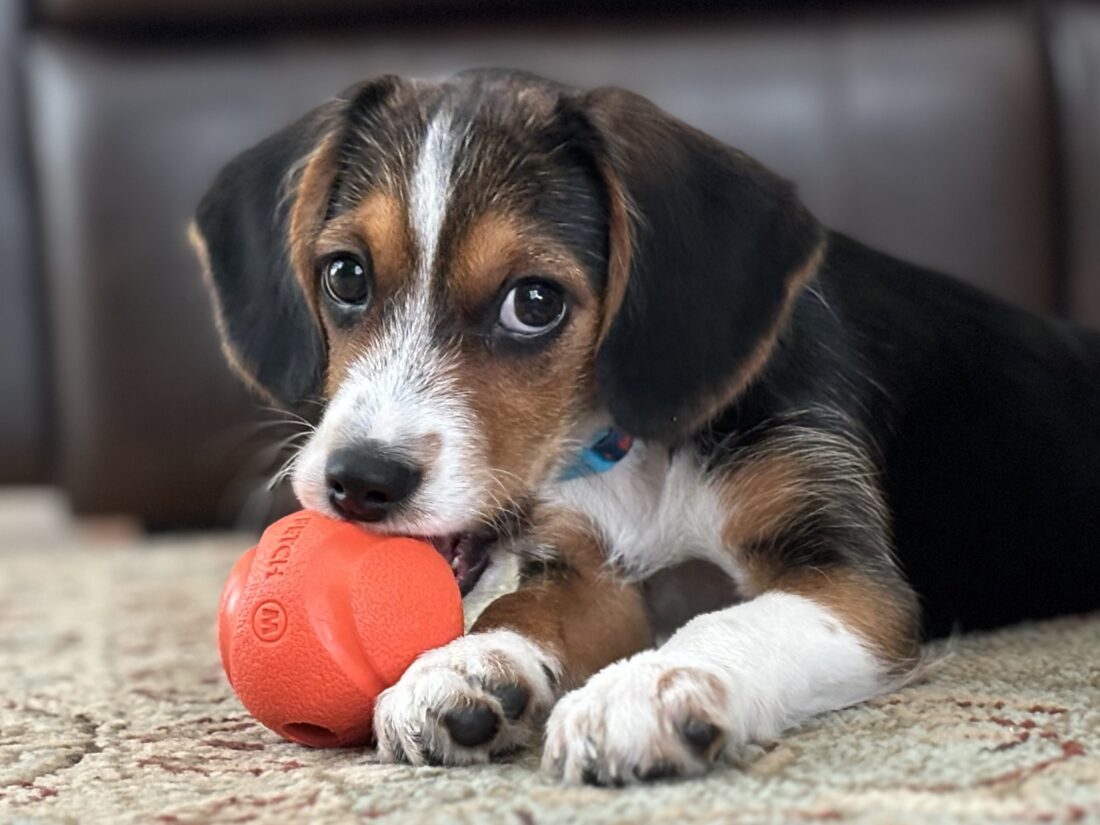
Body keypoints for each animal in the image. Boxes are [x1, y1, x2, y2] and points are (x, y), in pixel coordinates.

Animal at [193, 70, 1100, 787]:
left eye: (535, 302)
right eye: (345, 276)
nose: (359, 481)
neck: (642, 453)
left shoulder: (851, 581)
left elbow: (733, 620)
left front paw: (650, 689)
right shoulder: (587, 570)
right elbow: (516, 606)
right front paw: (465, 665)